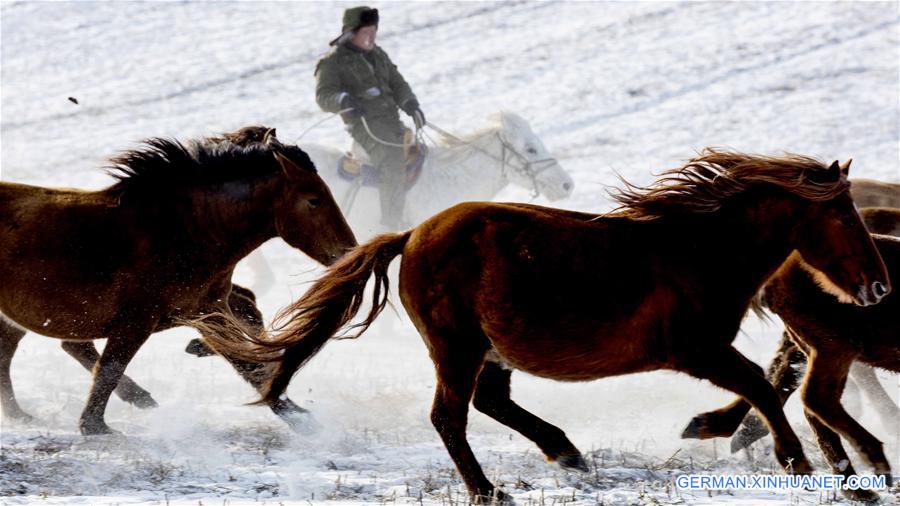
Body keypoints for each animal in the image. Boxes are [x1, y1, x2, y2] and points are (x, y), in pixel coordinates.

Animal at [0, 129, 358, 434]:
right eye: (314, 199)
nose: (347, 251)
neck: (184, 232)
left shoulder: (208, 311)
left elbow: (247, 362)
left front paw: (297, 415)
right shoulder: (137, 320)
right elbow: (110, 369)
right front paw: (94, 427)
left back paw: (20, 415)